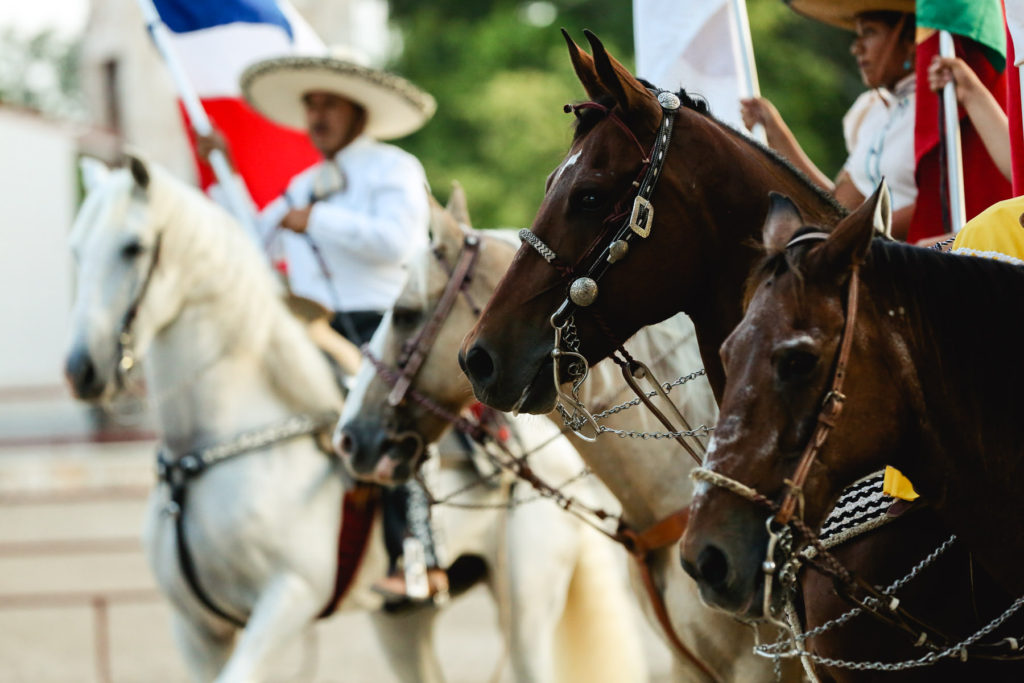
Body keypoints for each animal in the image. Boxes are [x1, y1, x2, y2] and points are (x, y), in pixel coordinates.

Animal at [63, 156, 640, 683]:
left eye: (133, 247)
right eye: (76, 249)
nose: (81, 369)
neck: (206, 449)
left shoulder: (288, 599)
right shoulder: (195, 630)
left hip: (525, 608)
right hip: (402, 620)